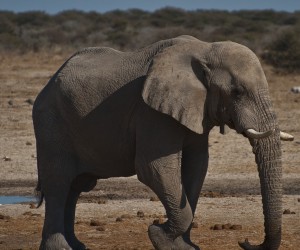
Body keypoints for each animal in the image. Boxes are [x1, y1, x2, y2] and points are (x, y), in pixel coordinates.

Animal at [32, 35, 292, 250]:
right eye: (237, 92)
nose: (245, 241)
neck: (205, 49)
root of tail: (49, 81)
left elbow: (197, 167)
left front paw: (185, 247)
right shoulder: (151, 112)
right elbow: (153, 168)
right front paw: (159, 236)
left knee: (75, 187)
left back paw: (77, 246)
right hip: (50, 124)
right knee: (59, 184)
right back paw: (61, 248)